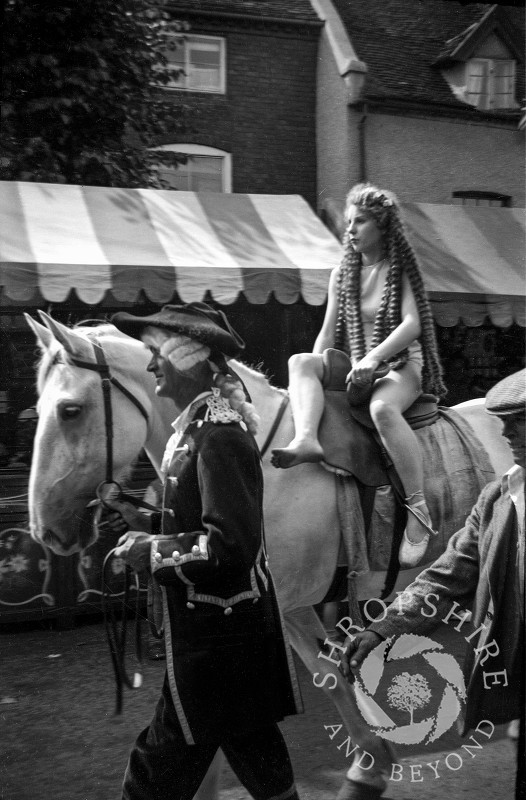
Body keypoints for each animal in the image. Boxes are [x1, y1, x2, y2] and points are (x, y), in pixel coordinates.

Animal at [25, 312, 516, 792]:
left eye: (70, 410)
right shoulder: (290, 608)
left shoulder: (274, 602)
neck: (262, 456)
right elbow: (329, 677)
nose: (45, 527)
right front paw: (371, 762)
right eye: (39, 409)